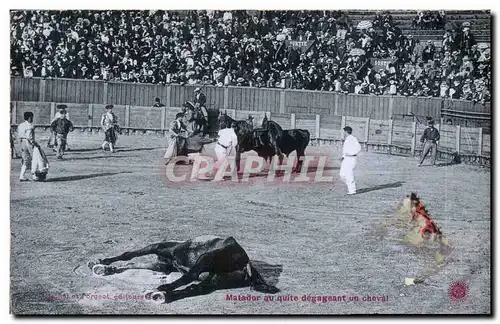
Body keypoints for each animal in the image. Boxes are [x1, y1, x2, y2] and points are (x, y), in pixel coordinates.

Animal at [88, 234, 280, 302]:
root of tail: (247, 264)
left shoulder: (158, 247)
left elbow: (128, 255)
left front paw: (103, 262)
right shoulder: (162, 265)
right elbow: (133, 263)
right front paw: (106, 269)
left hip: (206, 258)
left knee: (190, 277)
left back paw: (162, 289)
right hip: (213, 281)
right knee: (193, 288)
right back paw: (163, 295)